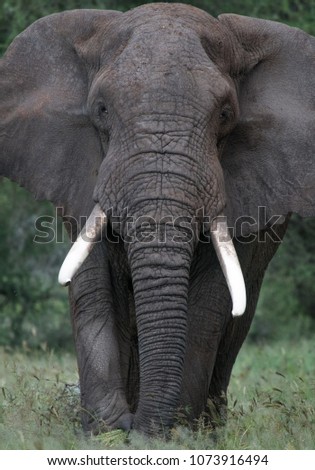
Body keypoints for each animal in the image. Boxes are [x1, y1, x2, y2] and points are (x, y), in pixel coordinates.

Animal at [0, 2, 315, 436]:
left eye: (225, 113)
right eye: (101, 110)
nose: (135, 425)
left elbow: (210, 299)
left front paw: (173, 434)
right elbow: (92, 283)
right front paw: (106, 430)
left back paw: (210, 427)